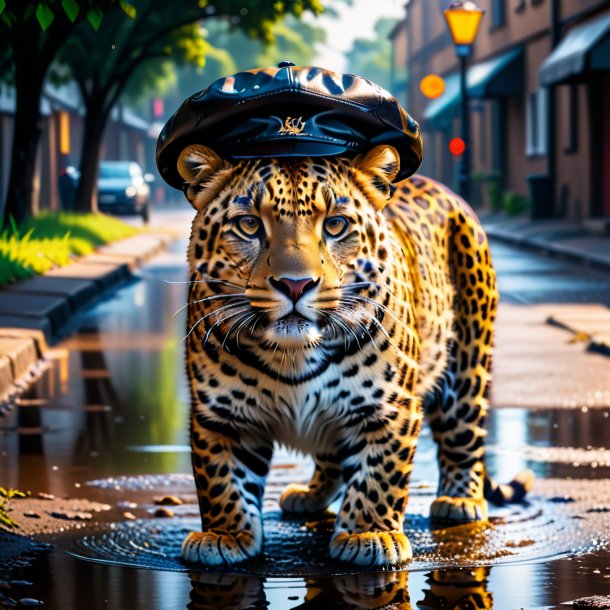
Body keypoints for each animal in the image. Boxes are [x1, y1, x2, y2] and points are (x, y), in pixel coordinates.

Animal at [176, 141, 528, 564]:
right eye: (248, 225)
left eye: (335, 226)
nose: (296, 285)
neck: (293, 354)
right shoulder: (222, 415)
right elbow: (222, 479)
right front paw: (225, 534)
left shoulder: (389, 409)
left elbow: (379, 475)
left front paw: (368, 534)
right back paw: (310, 495)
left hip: (467, 365)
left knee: (464, 433)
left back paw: (460, 500)